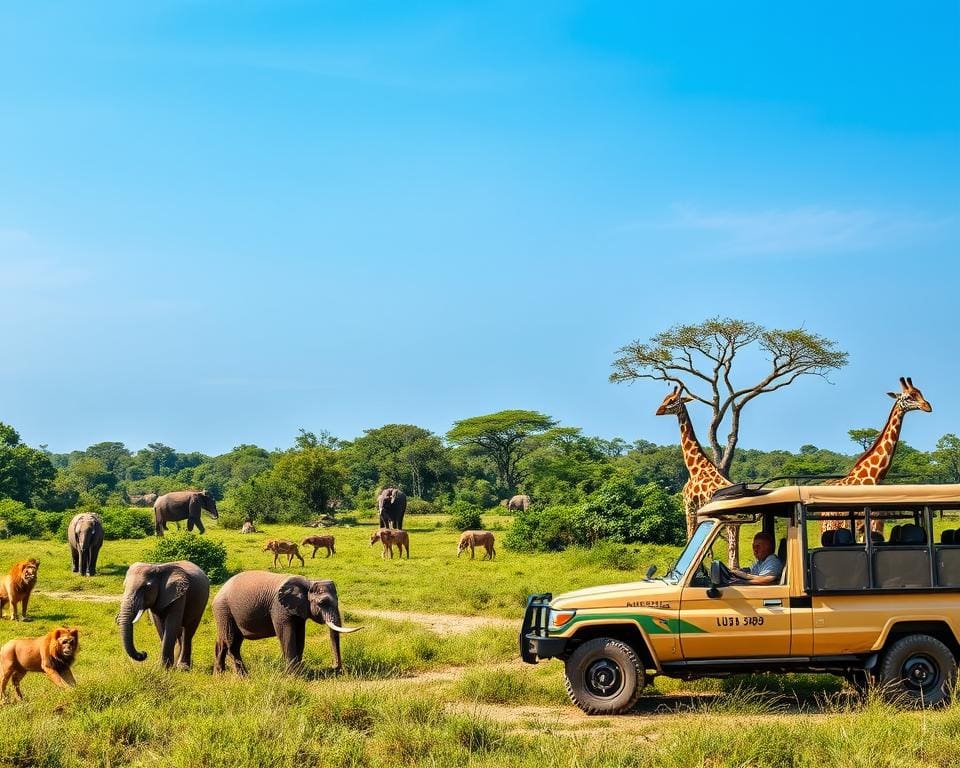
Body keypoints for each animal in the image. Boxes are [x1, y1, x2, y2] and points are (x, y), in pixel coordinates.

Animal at [211, 568, 360, 672]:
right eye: (322, 603)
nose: (334, 666)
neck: (308, 582)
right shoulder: (279, 608)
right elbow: (287, 634)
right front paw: (294, 675)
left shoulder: (298, 610)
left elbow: (300, 636)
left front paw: (300, 671)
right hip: (224, 611)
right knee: (231, 642)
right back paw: (244, 677)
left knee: (225, 642)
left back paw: (219, 675)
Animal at [652, 388, 736, 560]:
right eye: (665, 398)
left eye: (672, 400)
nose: (658, 411)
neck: (693, 469)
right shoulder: (699, 509)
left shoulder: (688, 505)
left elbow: (689, 536)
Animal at [820, 376, 932, 536]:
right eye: (908, 397)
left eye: (920, 392)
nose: (927, 406)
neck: (875, 475)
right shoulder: (869, 522)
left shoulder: (876, 522)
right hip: (832, 525)